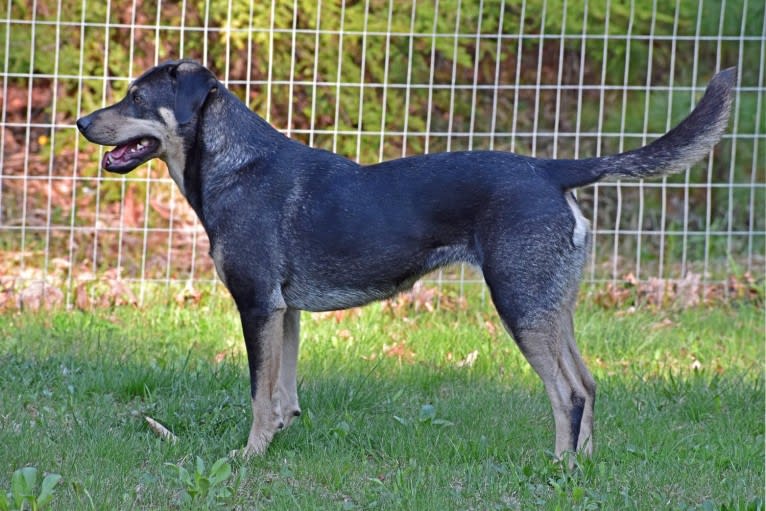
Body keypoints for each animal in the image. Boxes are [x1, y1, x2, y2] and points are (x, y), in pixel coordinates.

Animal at [78, 61, 736, 460]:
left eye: (136, 97)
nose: (81, 121)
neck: (235, 166)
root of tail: (553, 170)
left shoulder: (257, 305)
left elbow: (258, 395)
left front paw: (248, 456)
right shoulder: (285, 312)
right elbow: (284, 392)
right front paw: (279, 441)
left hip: (519, 305)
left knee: (569, 393)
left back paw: (558, 469)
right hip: (549, 306)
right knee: (591, 385)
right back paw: (584, 467)